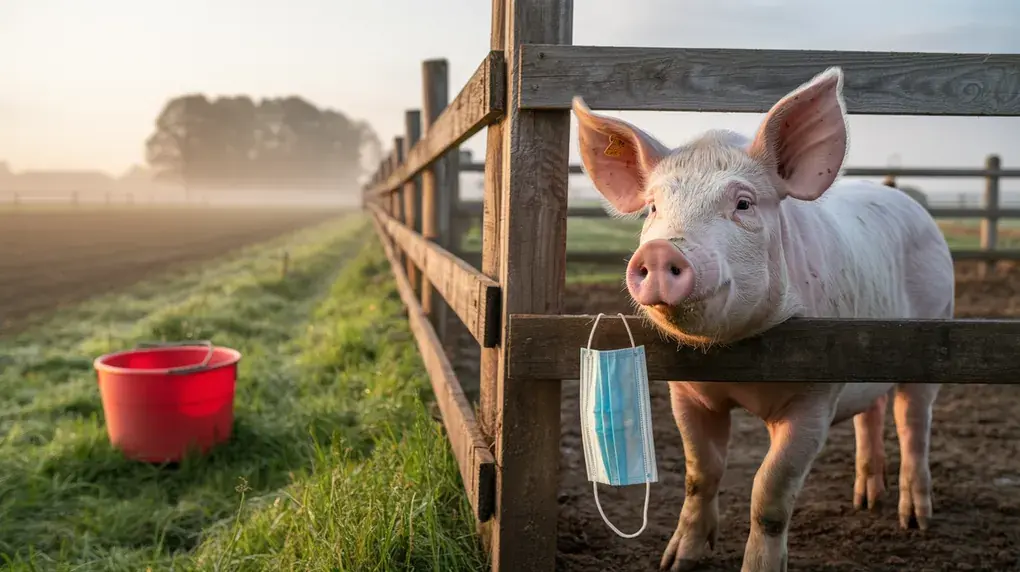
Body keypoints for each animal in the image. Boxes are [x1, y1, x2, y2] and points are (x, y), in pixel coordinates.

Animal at [571, 66, 953, 572]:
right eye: (653, 207)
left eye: (744, 204)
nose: (659, 250)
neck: (739, 359)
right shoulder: (686, 393)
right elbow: (700, 474)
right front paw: (676, 562)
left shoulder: (815, 395)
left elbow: (770, 491)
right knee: (870, 414)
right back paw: (866, 501)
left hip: (933, 330)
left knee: (913, 422)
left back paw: (915, 522)